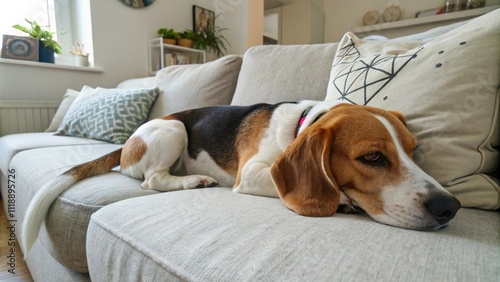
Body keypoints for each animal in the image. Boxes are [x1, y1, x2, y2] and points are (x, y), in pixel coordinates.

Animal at [22, 101, 460, 253]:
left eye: (413, 151)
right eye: (372, 157)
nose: (450, 207)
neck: (299, 125)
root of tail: (129, 139)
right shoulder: (250, 176)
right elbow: (329, 191)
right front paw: (343, 199)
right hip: (173, 130)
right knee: (150, 180)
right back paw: (192, 181)